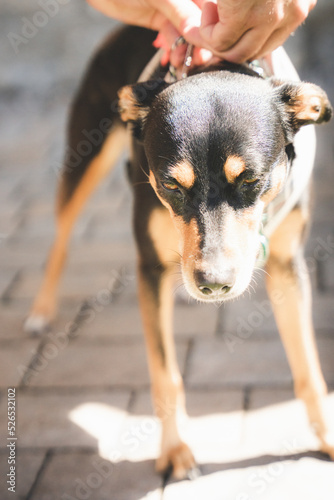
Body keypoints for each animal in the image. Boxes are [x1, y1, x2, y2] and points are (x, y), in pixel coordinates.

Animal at [26, 26, 334, 476]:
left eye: (251, 180)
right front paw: (173, 451)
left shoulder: (287, 264)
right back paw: (41, 310)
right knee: (60, 238)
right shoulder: (151, 269)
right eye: (171, 184)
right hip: (85, 157)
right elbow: (166, 375)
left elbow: (309, 368)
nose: (214, 284)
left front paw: (327, 437)